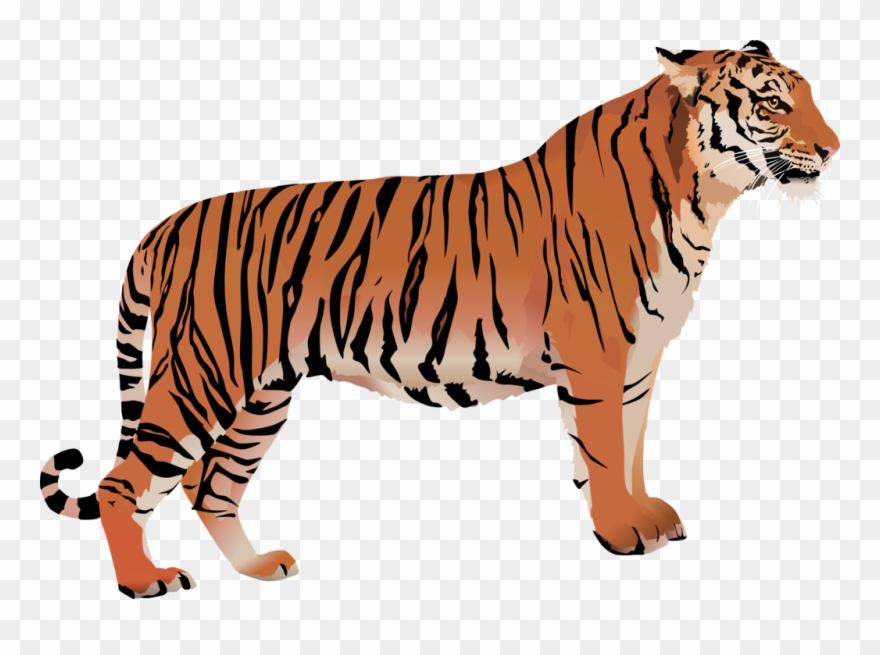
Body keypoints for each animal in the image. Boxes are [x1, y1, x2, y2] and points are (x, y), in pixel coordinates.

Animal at [40, 41, 839, 598]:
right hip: (204, 372)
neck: (700, 198)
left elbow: (633, 446)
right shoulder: (600, 357)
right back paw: (143, 581)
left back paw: (259, 567)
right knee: (124, 483)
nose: (834, 149)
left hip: (263, 393)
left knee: (211, 485)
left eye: (809, 96)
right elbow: (606, 452)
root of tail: (167, 224)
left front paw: (647, 514)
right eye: (773, 104)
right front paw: (620, 531)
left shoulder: (642, 362)